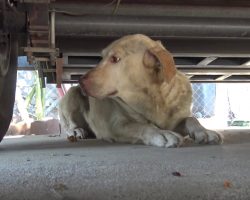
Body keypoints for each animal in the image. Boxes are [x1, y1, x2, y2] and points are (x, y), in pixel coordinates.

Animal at [59, 34, 223, 147]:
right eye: (101, 58)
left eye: (115, 59)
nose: (80, 80)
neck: (153, 99)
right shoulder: (116, 125)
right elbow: (142, 126)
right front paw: (161, 133)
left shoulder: (177, 119)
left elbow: (191, 119)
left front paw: (204, 131)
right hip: (72, 95)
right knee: (68, 124)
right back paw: (76, 131)